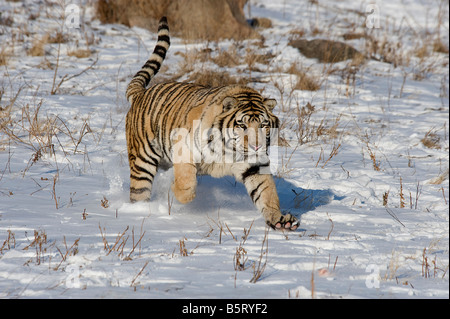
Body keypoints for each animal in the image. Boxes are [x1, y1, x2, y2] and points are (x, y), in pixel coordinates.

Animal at [125, 16, 298, 230]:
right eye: (242, 125)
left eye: (263, 125)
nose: (256, 146)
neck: (229, 150)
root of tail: (141, 93)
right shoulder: (184, 147)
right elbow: (186, 180)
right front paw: (180, 195)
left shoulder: (255, 165)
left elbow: (267, 192)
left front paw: (280, 220)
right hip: (142, 160)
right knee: (139, 190)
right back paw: (140, 211)